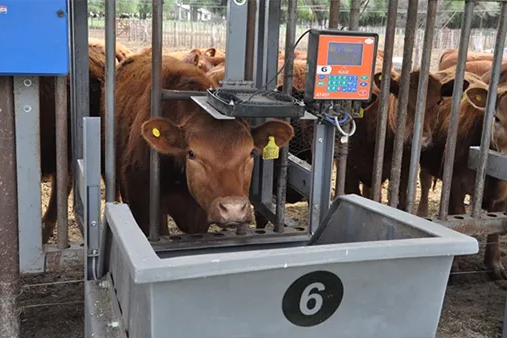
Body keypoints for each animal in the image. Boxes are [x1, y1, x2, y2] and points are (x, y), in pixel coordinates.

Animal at [418, 69, 507, 280]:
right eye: (497, 118)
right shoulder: (456, 182)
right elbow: (459, 213)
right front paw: (456, 265)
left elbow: (495, 227)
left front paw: (495, 264)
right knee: (425, 185)